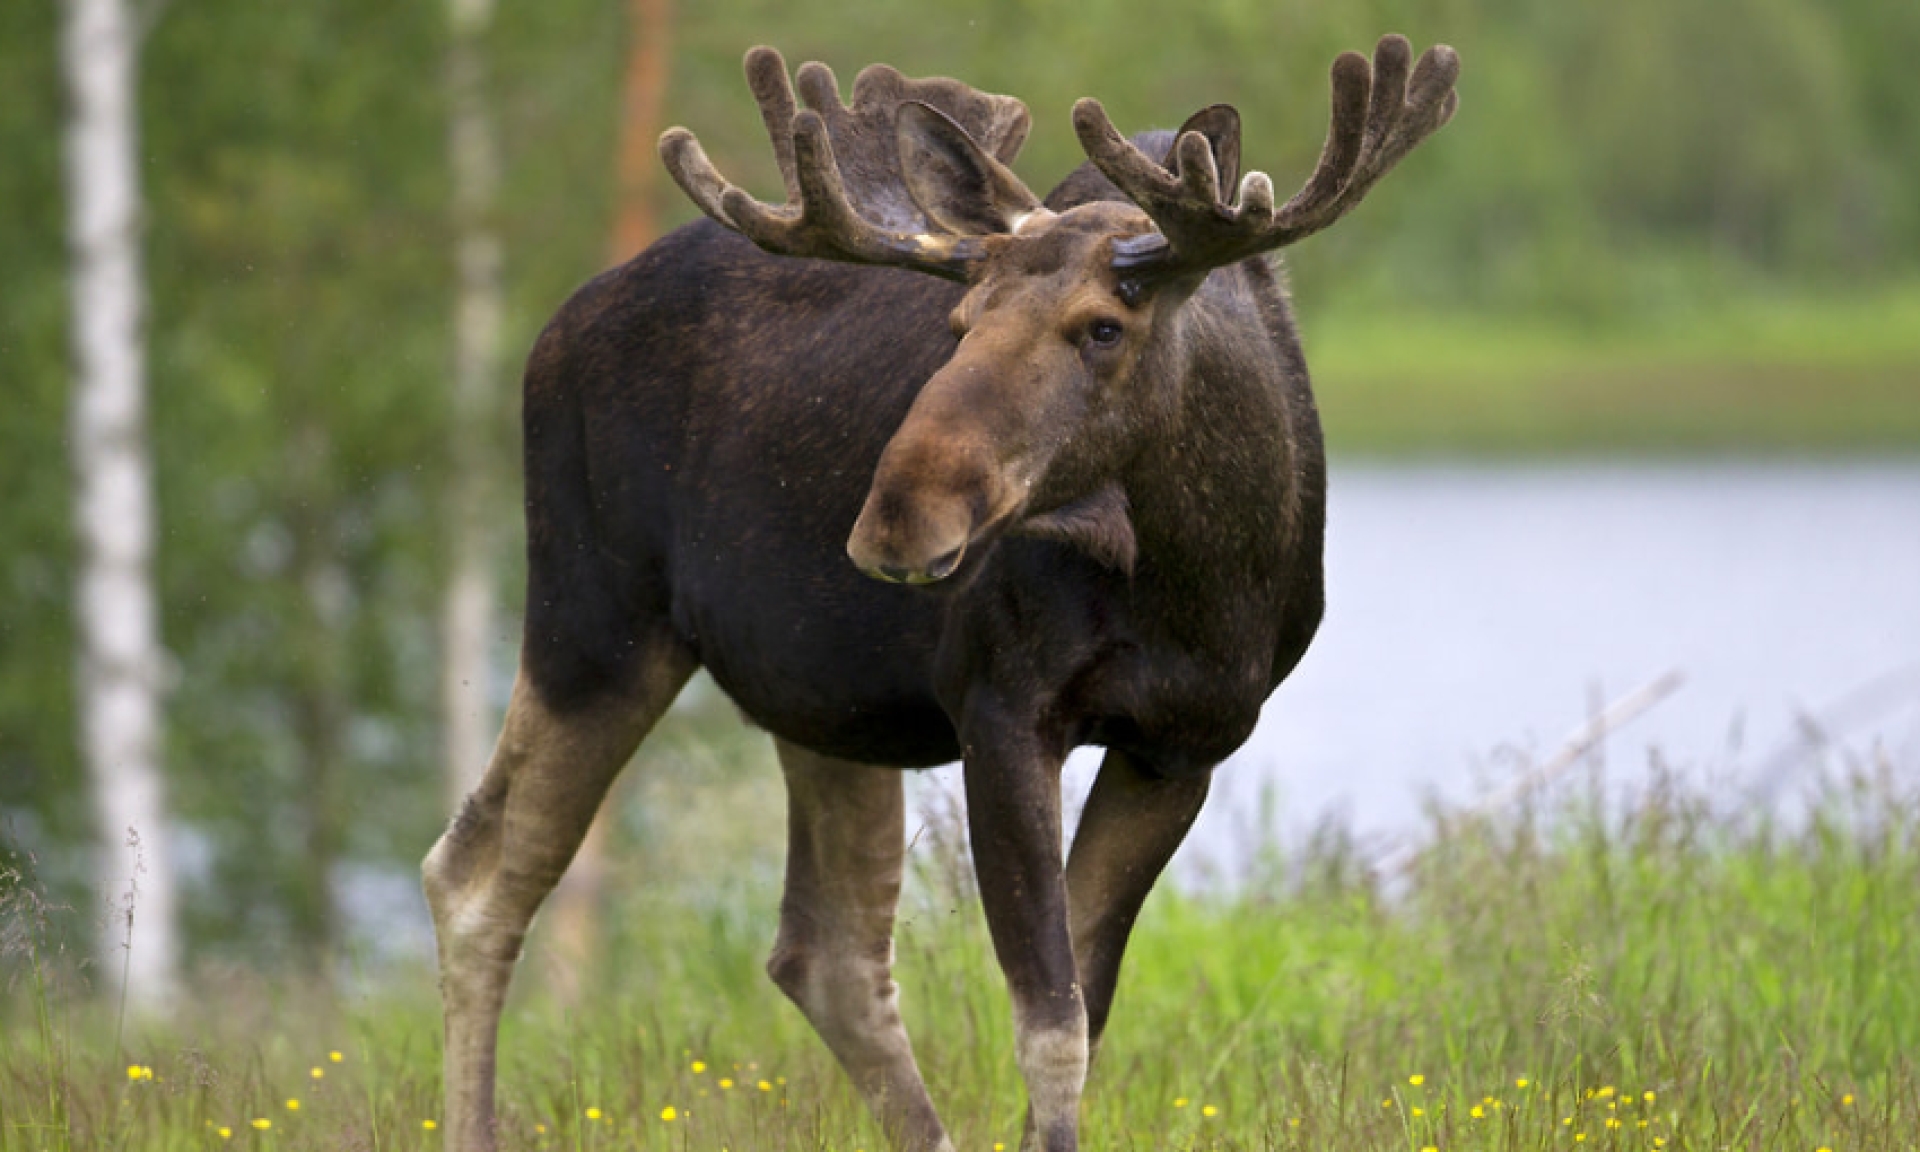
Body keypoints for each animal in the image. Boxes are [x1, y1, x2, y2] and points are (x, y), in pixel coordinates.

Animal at [428, 36, 1459, 1152]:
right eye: (959, 321)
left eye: (1103, 328)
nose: (895, 520)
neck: (1201, 578)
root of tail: (551, 328)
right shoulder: (1000, 709)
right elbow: (1050, 1022)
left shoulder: (1182, 746)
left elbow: (1084, 1003)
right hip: (593, 626)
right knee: (478, 876)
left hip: (821, 699)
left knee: (827, 952)